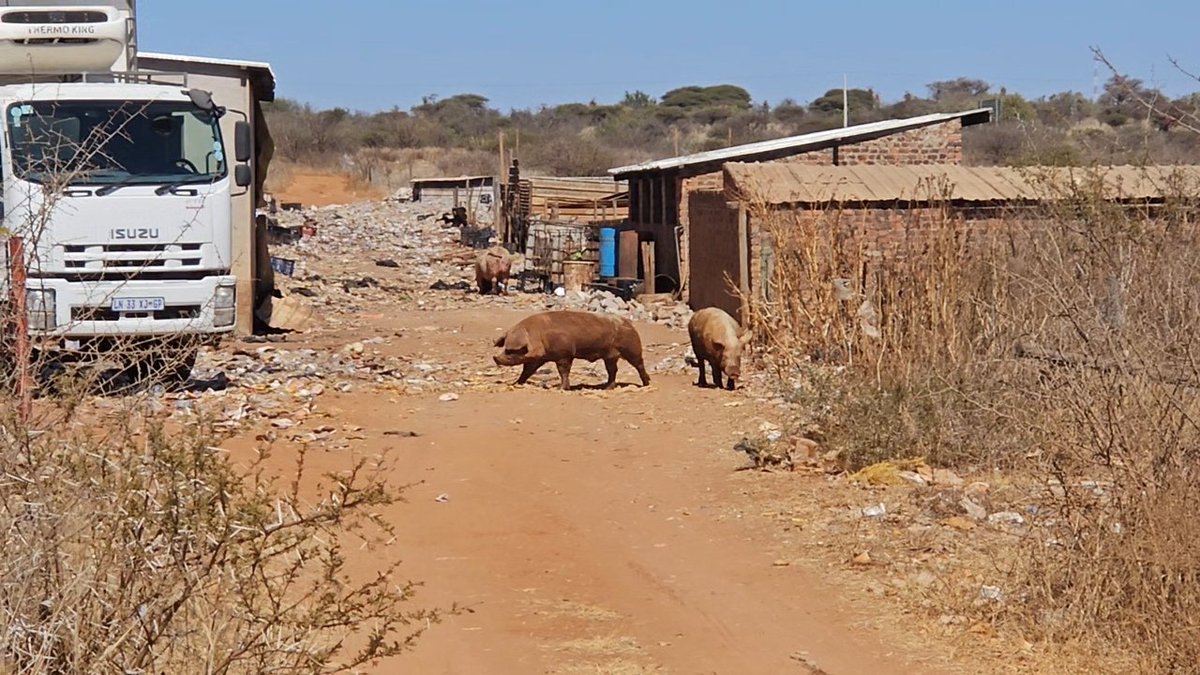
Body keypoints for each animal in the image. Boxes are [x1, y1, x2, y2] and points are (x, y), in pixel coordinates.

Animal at [493, 310, 652, 391]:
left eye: (512, 351)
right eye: (505, 348)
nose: (495, 358)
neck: (539, 335)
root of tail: (630, 324)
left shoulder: (565, 354)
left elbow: (563, 371)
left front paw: (561, 388)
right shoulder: (539, 359)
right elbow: (527, 370)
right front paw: (517, 383)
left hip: (632, 349)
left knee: (639, 364)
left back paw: (646, 384)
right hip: (610, 356)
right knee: (612, 370)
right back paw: (607, 388)